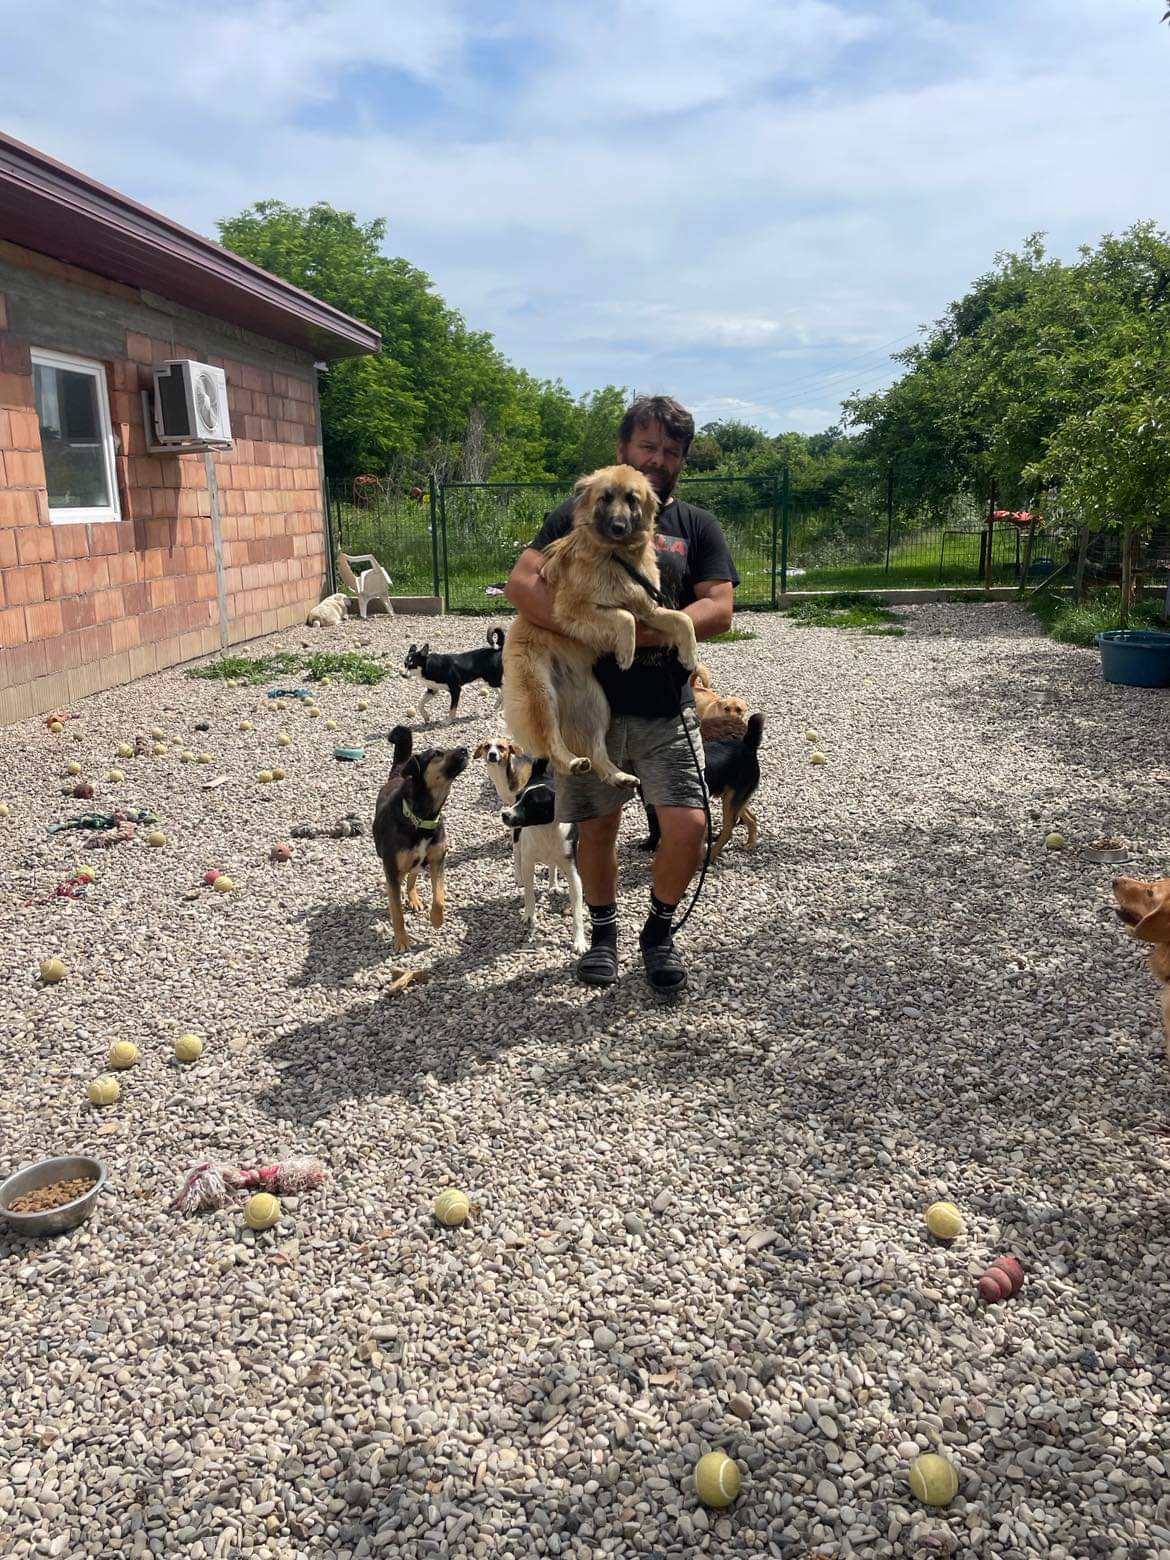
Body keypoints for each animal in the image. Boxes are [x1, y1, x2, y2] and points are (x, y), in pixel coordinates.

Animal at [373, 724, 469, 951]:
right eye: (437, 754)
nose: (464, 749)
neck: (422, 817)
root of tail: (398, 774)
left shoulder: (437, 860)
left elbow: (439, 897)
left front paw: (436, 920)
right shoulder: (391, 870)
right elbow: (396, 912)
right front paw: (401, 941)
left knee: (413, 875)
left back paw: (414, 898)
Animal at [500, 758, 587, 954]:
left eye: (531, 804)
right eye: (518, 798)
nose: (505, 814)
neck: (545, 829)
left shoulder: (573, 871)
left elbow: (577, 910)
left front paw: (580, 941)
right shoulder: (528, 862)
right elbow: (529, 894)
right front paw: (529, 916)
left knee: (552, 864)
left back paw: (553, 884)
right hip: (517, 836)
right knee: (516, 854)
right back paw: (518, 877)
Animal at [502, 464, 698, 786]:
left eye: (632, 499)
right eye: (605, 498)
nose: (618, 526)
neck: (617, 556)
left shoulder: (648, 607)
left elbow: (684, 619)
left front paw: (689, 655)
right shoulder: (572, 609)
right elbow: (623, 617)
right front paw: (626, 653)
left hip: (596, 705)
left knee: (597, 752)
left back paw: (618, 776)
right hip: (541, 695)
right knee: (552, 742)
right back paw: (571, 762)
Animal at [641, 712, 764, 862]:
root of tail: (747, 745)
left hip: (731, 799)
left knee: (728, 831)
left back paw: (710, 856)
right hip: (731, 796)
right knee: (751, 818)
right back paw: (751, 843)